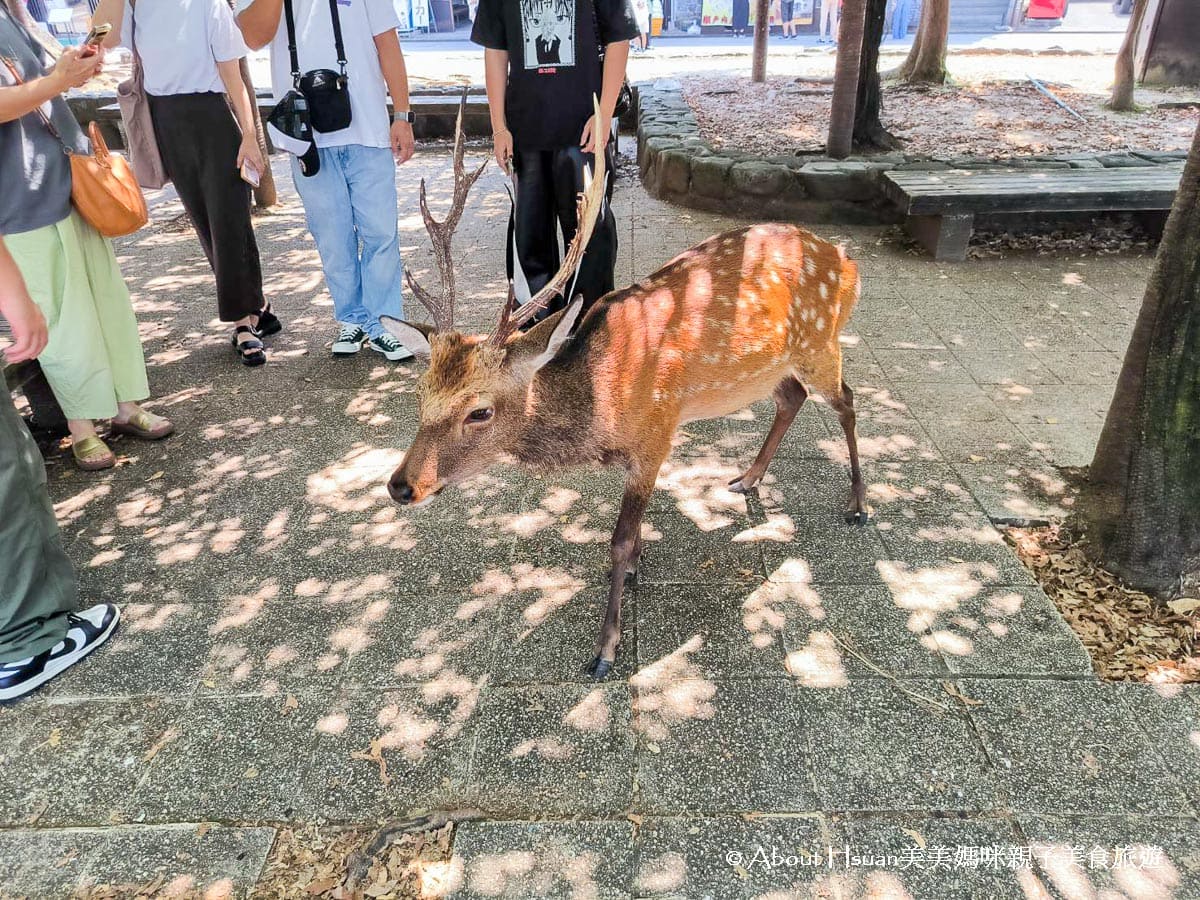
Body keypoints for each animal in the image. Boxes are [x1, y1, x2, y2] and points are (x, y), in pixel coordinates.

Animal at [388, 95, 868, 681]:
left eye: (479, 411)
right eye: (420, 395)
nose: (400, 486)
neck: (603, 404)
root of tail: (848, 262)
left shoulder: (656, 435)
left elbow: (617, 541)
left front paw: (606, 649)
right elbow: (631, 538)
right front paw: (638, 569)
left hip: (821, 341)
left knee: (847, 401)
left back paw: (858, 503)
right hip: (772, 366)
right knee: (792, 398)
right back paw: (747, 478)